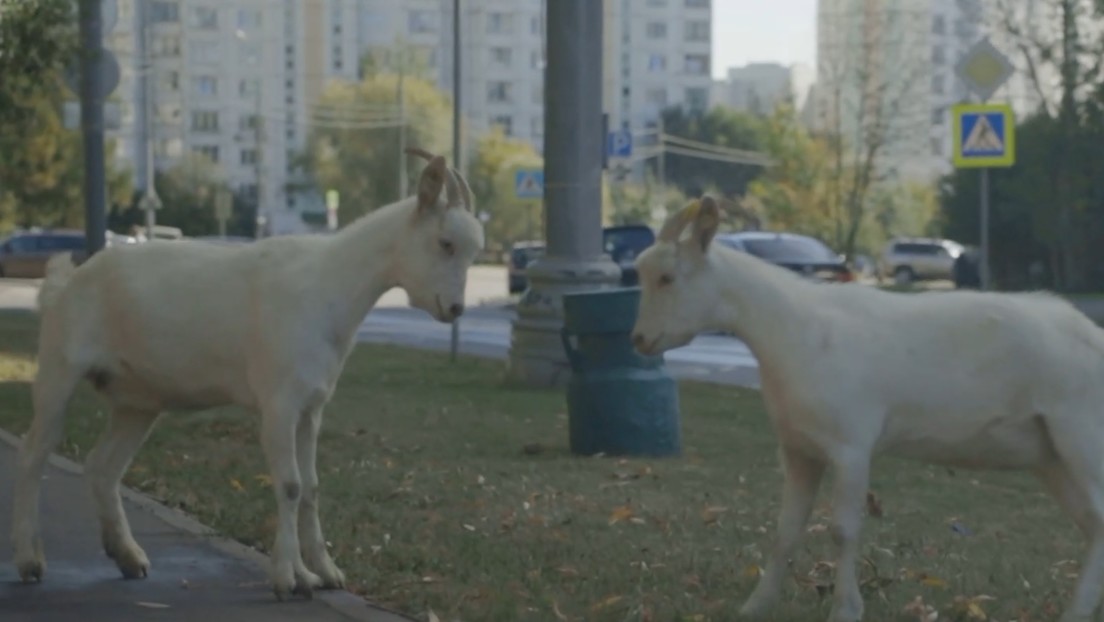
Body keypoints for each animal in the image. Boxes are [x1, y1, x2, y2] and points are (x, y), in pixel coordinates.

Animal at [10, 148, 484, 601]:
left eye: (472, 252)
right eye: (445, 243)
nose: (456, 308)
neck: (328, 288)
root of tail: (65, 282)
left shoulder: (311, 407)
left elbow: (311, 486)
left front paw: (327, 572)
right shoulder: (279, 402)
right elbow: (290, 484)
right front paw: (292, 579)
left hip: (136, 401)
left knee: (102, 466)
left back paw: (129, 557)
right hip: (58, 368)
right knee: (34, 454)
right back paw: (30, 561)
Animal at [630, 195, 1104, 622]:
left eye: (667, 277)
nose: (639, 339)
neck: (793, 330)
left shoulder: (851, 445)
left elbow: (843, 530)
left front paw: (845, 610)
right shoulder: (799, 448)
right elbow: (785, 532)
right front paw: (755, 607)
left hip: (1082, 436)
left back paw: (1075, 613)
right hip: (1050, 458)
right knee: (1092, 523)